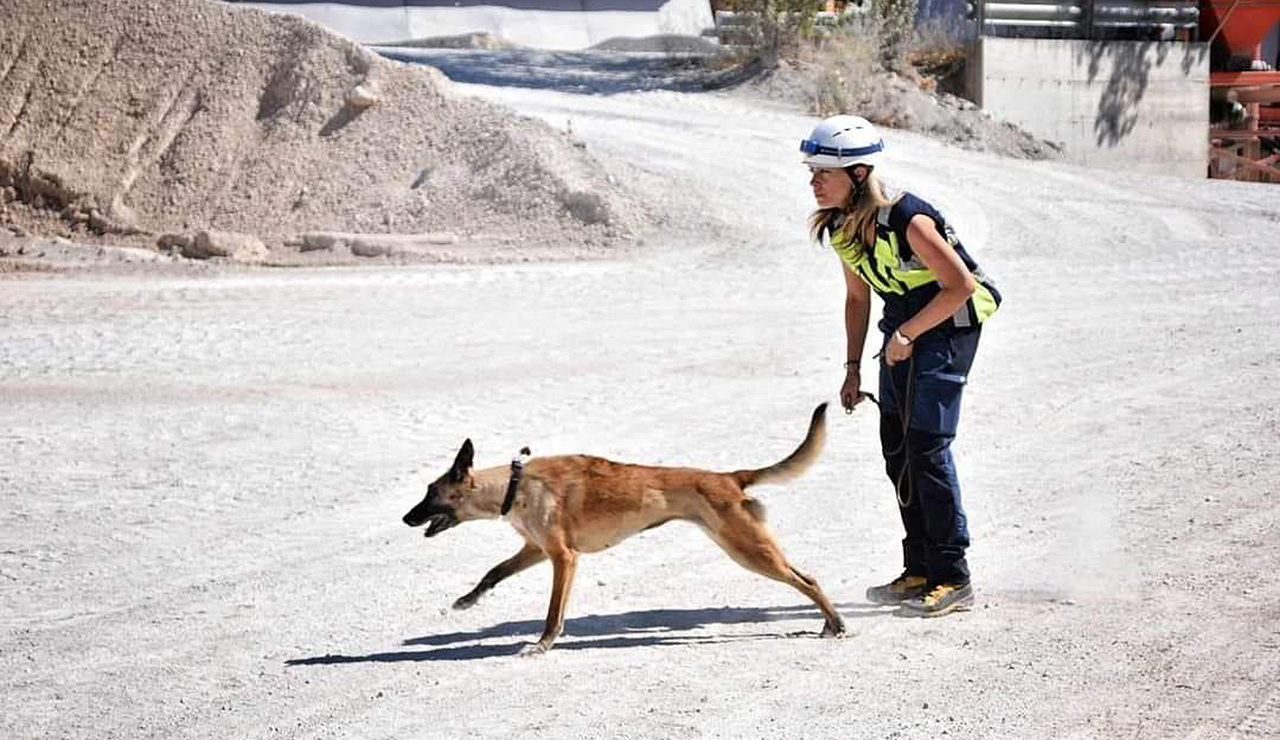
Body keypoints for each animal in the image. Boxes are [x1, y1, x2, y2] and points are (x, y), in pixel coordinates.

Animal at [399, 404, 839, 650]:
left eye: (430, 492)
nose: (406, 518)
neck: (515, 484)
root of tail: (729, 478)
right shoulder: (536, 549)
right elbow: (493, 572)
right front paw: (467, 600)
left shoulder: (563, 558)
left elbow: (553, 613)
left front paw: (542, 645)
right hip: (744, 546)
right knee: (806, 576)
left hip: (747, 549)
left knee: (809, 580)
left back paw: (835, 624)